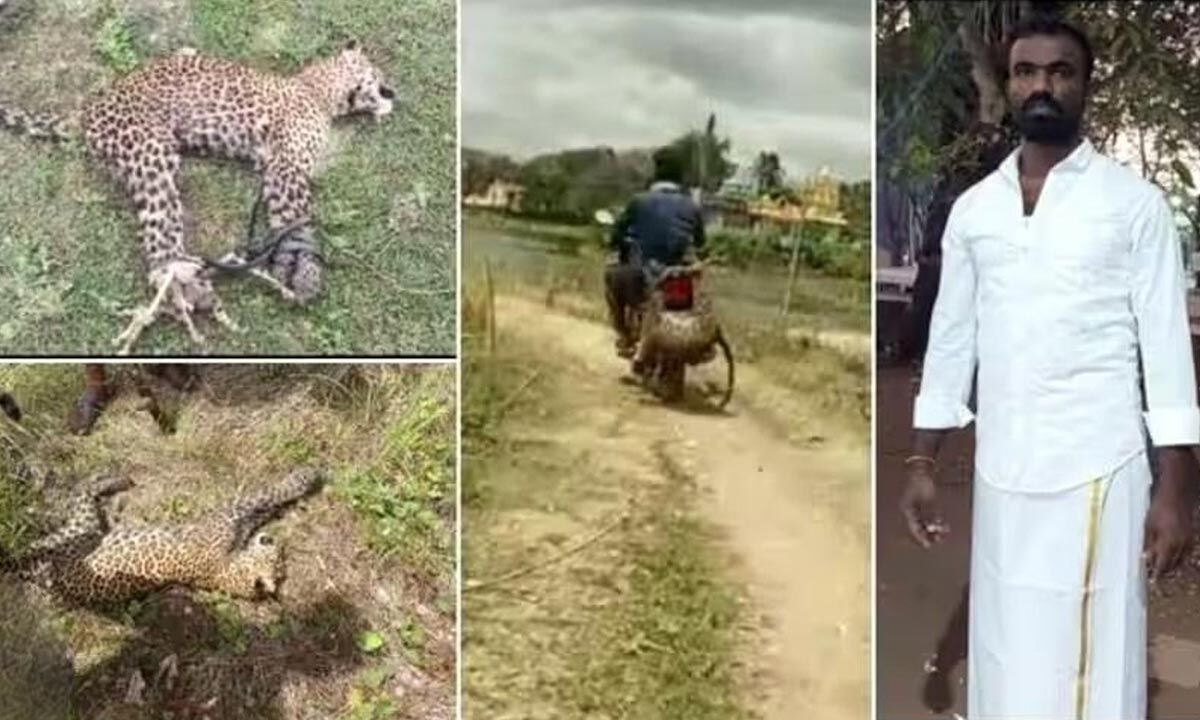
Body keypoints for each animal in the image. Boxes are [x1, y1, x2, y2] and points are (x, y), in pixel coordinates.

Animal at [0, 463, 324, 604]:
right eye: (277, 558)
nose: (276, 541)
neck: (226, 571)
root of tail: (34, 567)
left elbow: (267, 503)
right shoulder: (230, 513)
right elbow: (269, 496)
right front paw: (306, 475)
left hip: (83, 525)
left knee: (83, 491)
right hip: (82, 526)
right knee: (83, 488)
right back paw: (117, 478)